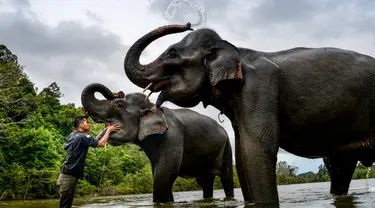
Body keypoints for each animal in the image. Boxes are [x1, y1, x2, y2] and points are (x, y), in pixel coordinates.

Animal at [80, 82, 235, 203]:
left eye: (119, 105)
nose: (119, 92)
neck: (153, 106)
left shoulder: (172, 135)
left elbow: (164, 175)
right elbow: (158, 174)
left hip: (227, 147)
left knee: (226, 178)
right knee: (205, 182)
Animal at [122, 22, 375, 205]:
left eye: (172, 53)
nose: (188, 24)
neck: (237, 51)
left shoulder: (259, 88)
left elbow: (256, 150)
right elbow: (243, 154)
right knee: (340, 165)